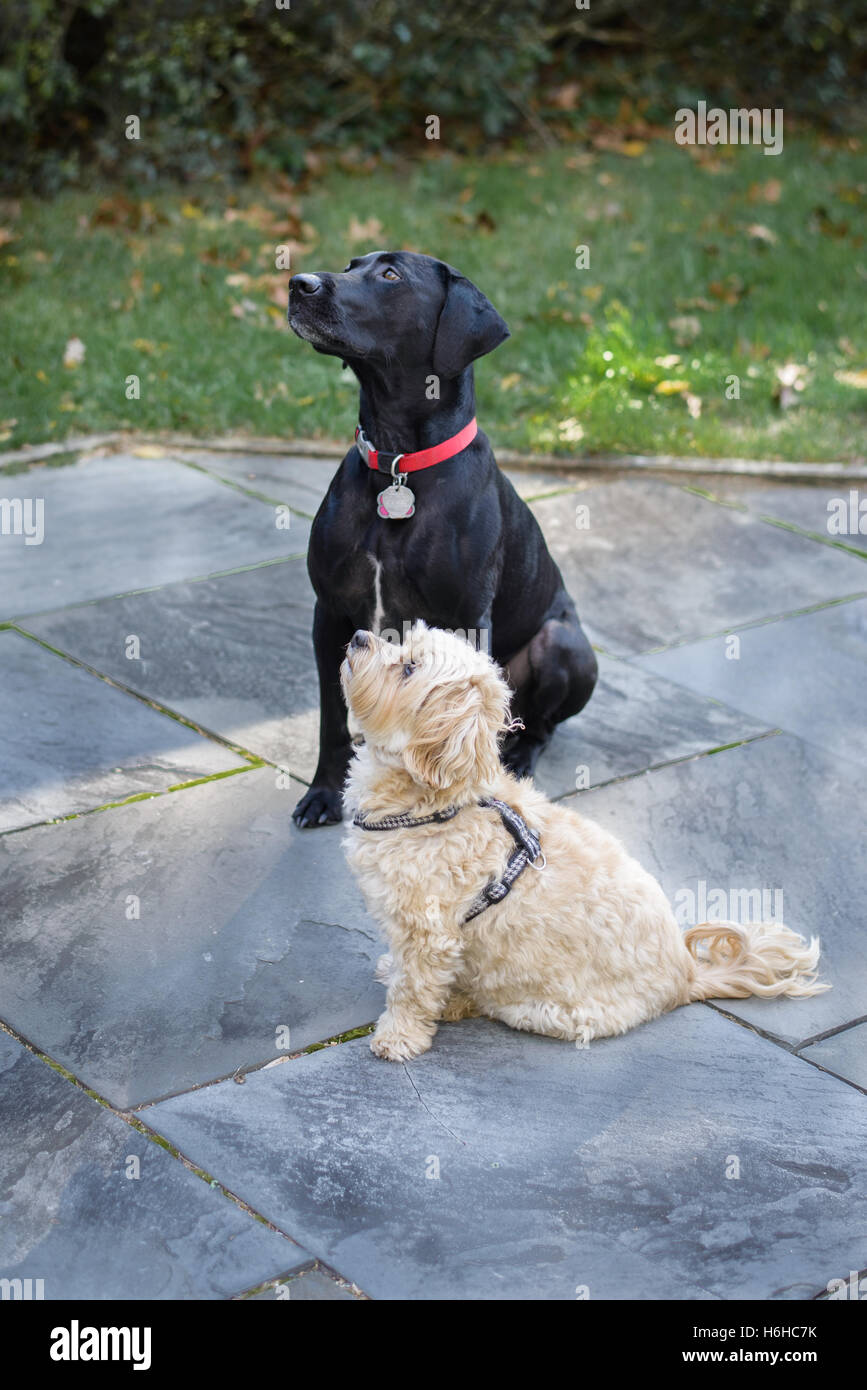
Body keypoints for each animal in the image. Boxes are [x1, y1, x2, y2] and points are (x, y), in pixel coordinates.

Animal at [284, 250, 594, 822]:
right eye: (351, 264)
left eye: (391, 275)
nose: (299, 283)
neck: (398, 463)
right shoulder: (329, 613)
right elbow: (330, 720)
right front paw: (323, 793)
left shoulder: (468, 618)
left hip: (562, 645)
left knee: (541, 726)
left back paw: (519, 756)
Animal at [339, 625, 828, 1056]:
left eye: (409, 668)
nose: (358, 636)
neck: (439, 803)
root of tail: (687, 976)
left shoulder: (430, 935)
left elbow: (413, 990)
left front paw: (398, 1037)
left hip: (541, 1007)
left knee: (489, 1002)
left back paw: (458, 1002)